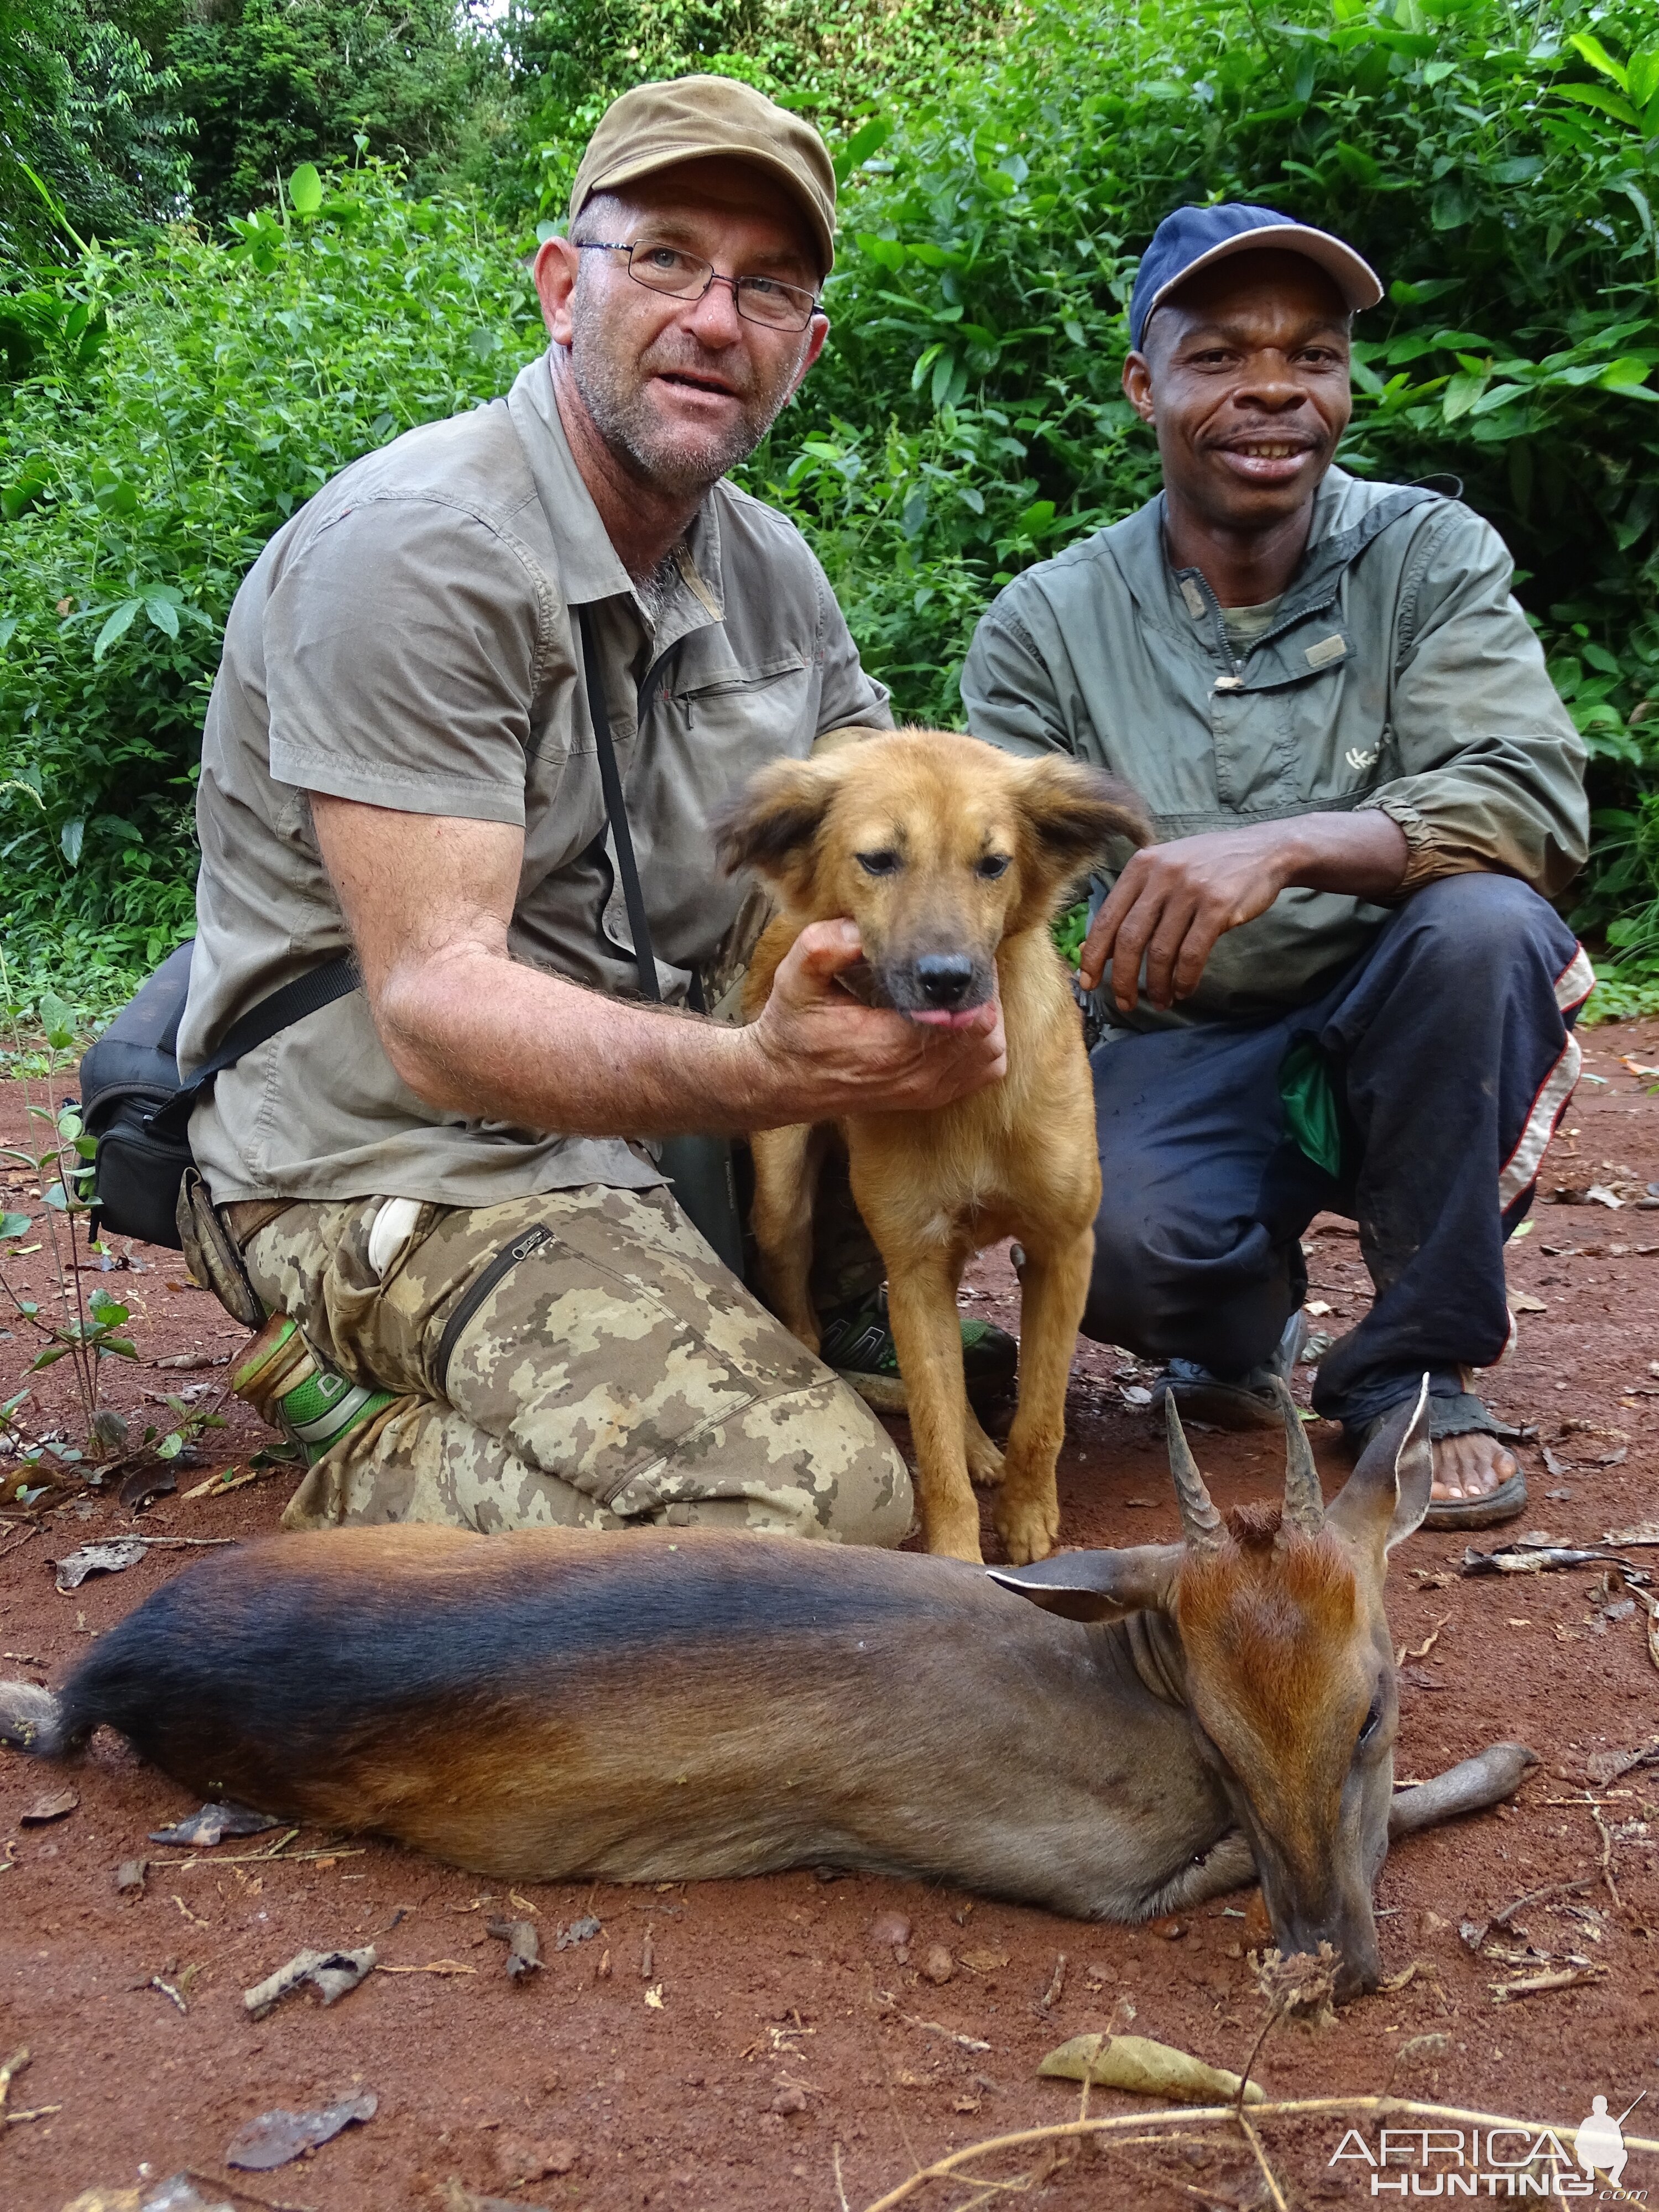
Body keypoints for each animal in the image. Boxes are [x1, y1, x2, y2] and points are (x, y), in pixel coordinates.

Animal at [721, 734, 1150, 1566]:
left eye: (994, 863)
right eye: (879, 859)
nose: (948, 981)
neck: (968, 1102)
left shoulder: (1064, 1246)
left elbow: (1040, 1414)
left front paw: (1028, 1519)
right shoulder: (915, 1261)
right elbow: (933, 1433)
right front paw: (957, 1555)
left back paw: (986, 1448)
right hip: (784, 1200)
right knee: (810, 1318)